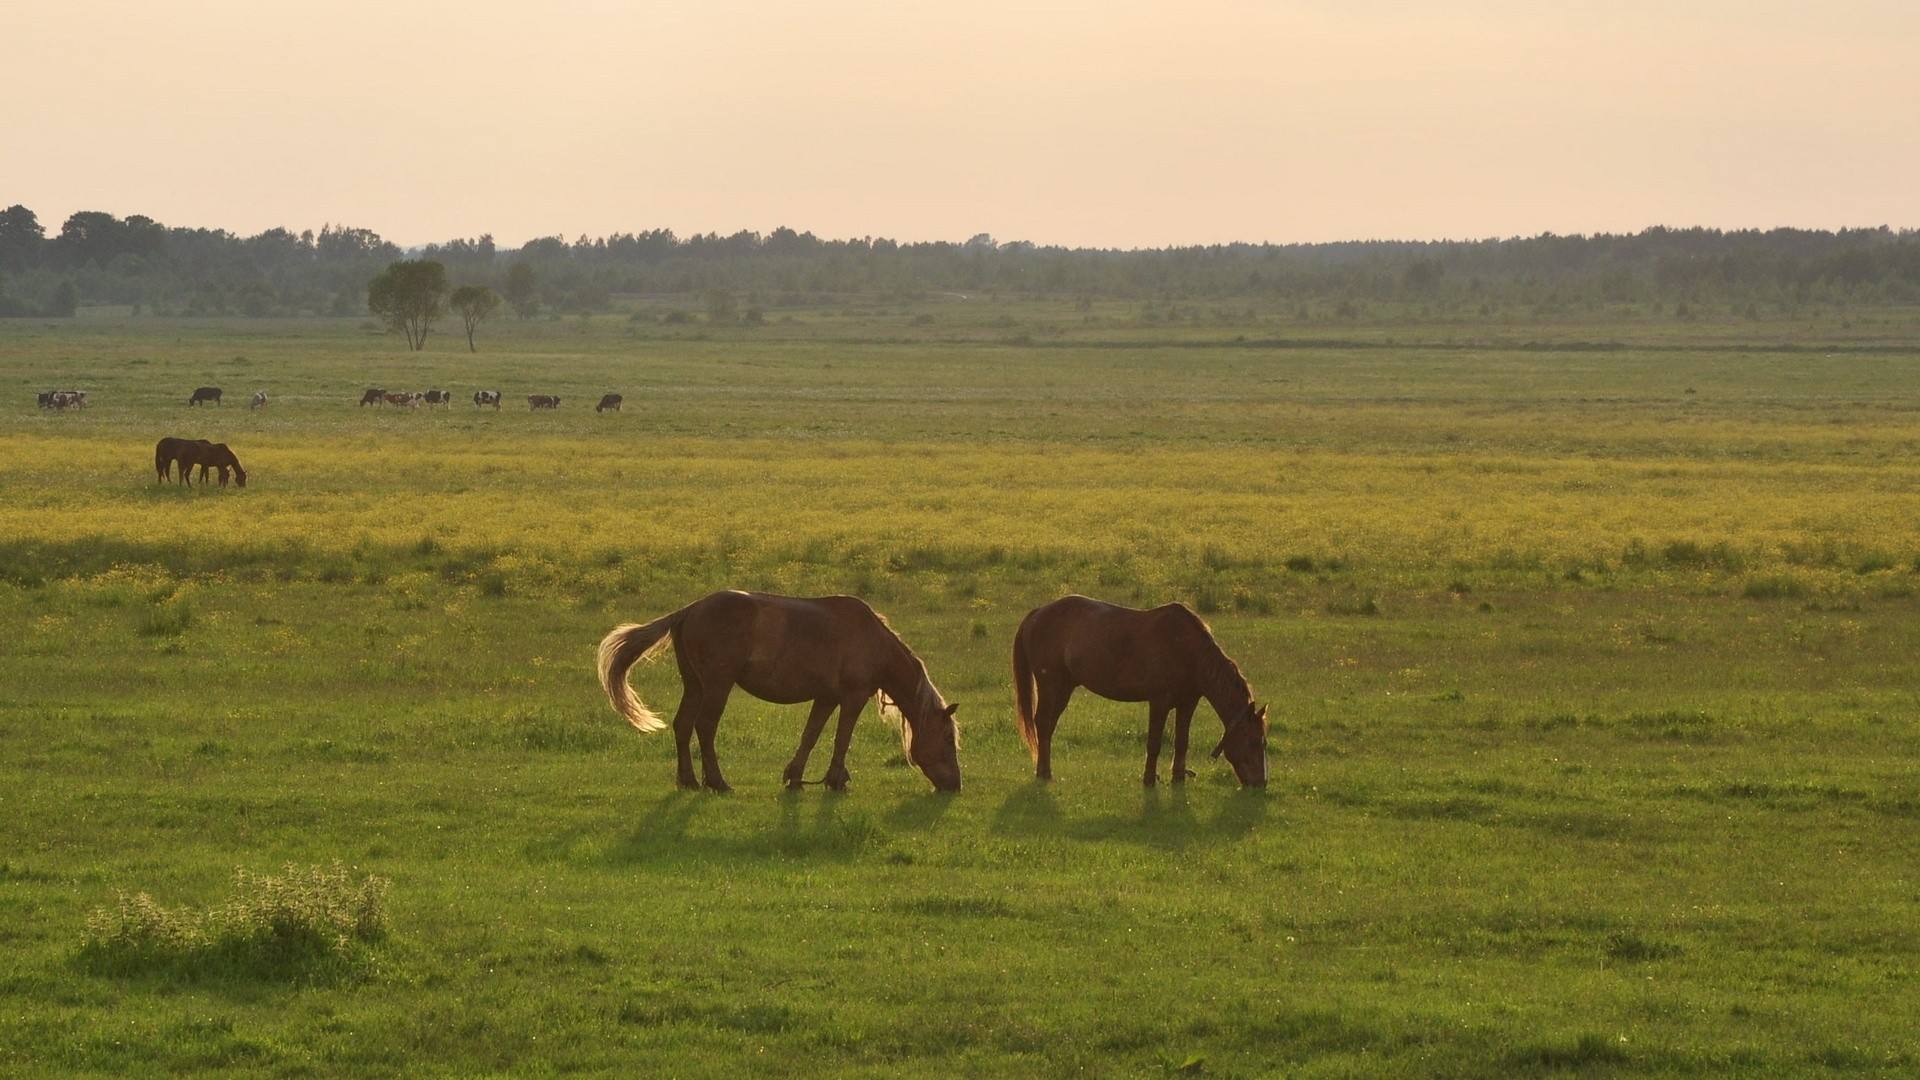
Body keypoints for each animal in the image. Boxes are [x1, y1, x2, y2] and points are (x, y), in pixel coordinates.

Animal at [595, 588, 960, 791]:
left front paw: (795, 777)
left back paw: (689, 781)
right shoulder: (852, 698)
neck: (872, 640)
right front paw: (835, 780)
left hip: (695, 685)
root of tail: (690, 610)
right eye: (947, 738)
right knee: (705, 727)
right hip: (717, 685)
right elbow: (841, 739)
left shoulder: (826, 698)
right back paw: (717, 782)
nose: (955, 785)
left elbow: (810, 735)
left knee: (683, 725)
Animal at [1013, 591, 1267, 787]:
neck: (1188, 651)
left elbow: (1182, 742)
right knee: (1043, 724)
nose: (1261, 784)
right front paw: (1149, 780)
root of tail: (1037, 613)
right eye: (1254, 741)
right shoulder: (1159, 702)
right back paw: (1044, 773)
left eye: (1264, 743)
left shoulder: (1187, 703)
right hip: (1052, 686)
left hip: (1062, 688)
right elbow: (1154, 743)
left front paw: (1177, 779)